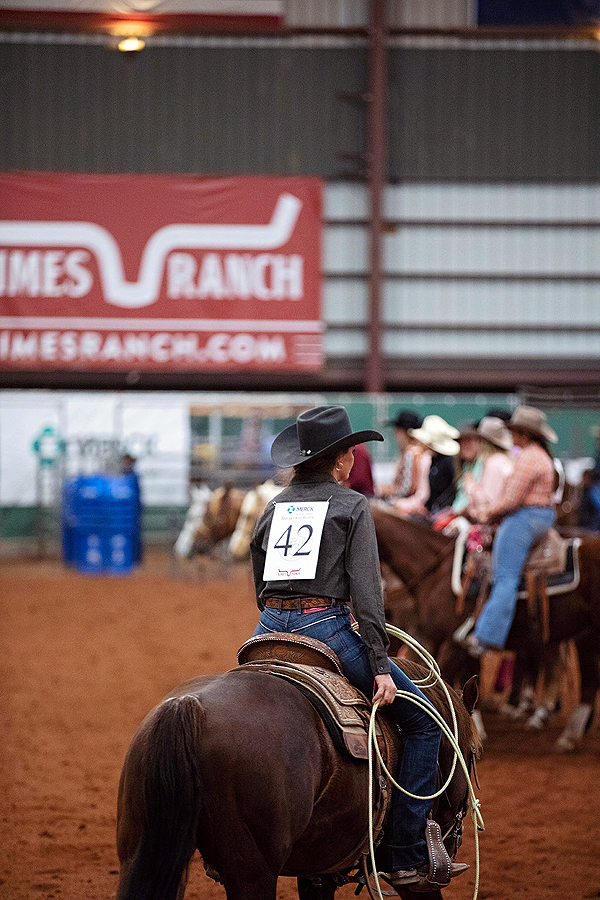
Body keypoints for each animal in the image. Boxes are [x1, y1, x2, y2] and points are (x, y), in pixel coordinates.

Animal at [115, 652, 480, 900]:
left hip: (136, 852)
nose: (456, 841)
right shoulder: (414, 875)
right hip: (251, 875)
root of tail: (190, 706)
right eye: (474, 752)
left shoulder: (318, 869)